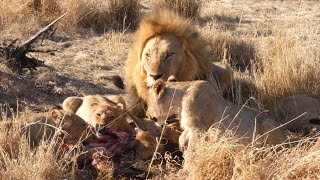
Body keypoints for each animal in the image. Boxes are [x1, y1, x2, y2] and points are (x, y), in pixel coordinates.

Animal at [146, 79, 286, 149]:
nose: (147, 115)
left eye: (148, 101)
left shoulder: (199, 128)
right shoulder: (190, 127)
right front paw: (181, 146)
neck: (178, 102)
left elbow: (192, 150)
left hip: (267, 125)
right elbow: (182, 137)